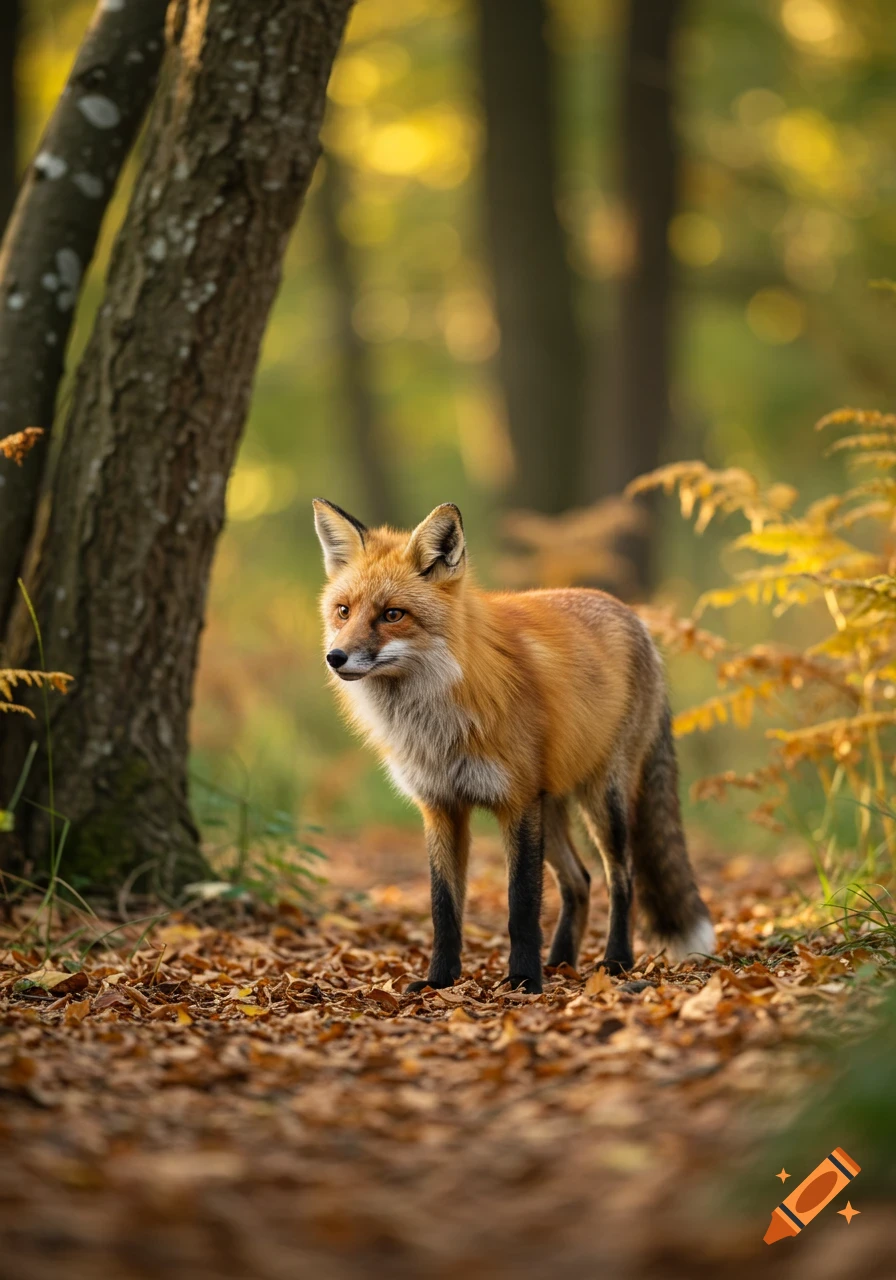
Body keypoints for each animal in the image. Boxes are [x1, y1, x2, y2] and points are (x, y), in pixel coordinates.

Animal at [313, 498, 715, 994]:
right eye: (343, 611)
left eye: (392, 614)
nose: (336, 657)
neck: (435, 723)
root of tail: (632, 615)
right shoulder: (441, 806)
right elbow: (443, 908)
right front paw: (440, 980)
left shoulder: (517, 802)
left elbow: (521, 905)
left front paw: (523, 978)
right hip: (554, 807)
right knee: (579, 881)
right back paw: (561, 963)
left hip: (603, 800)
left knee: (621, 877)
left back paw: (615, 961)